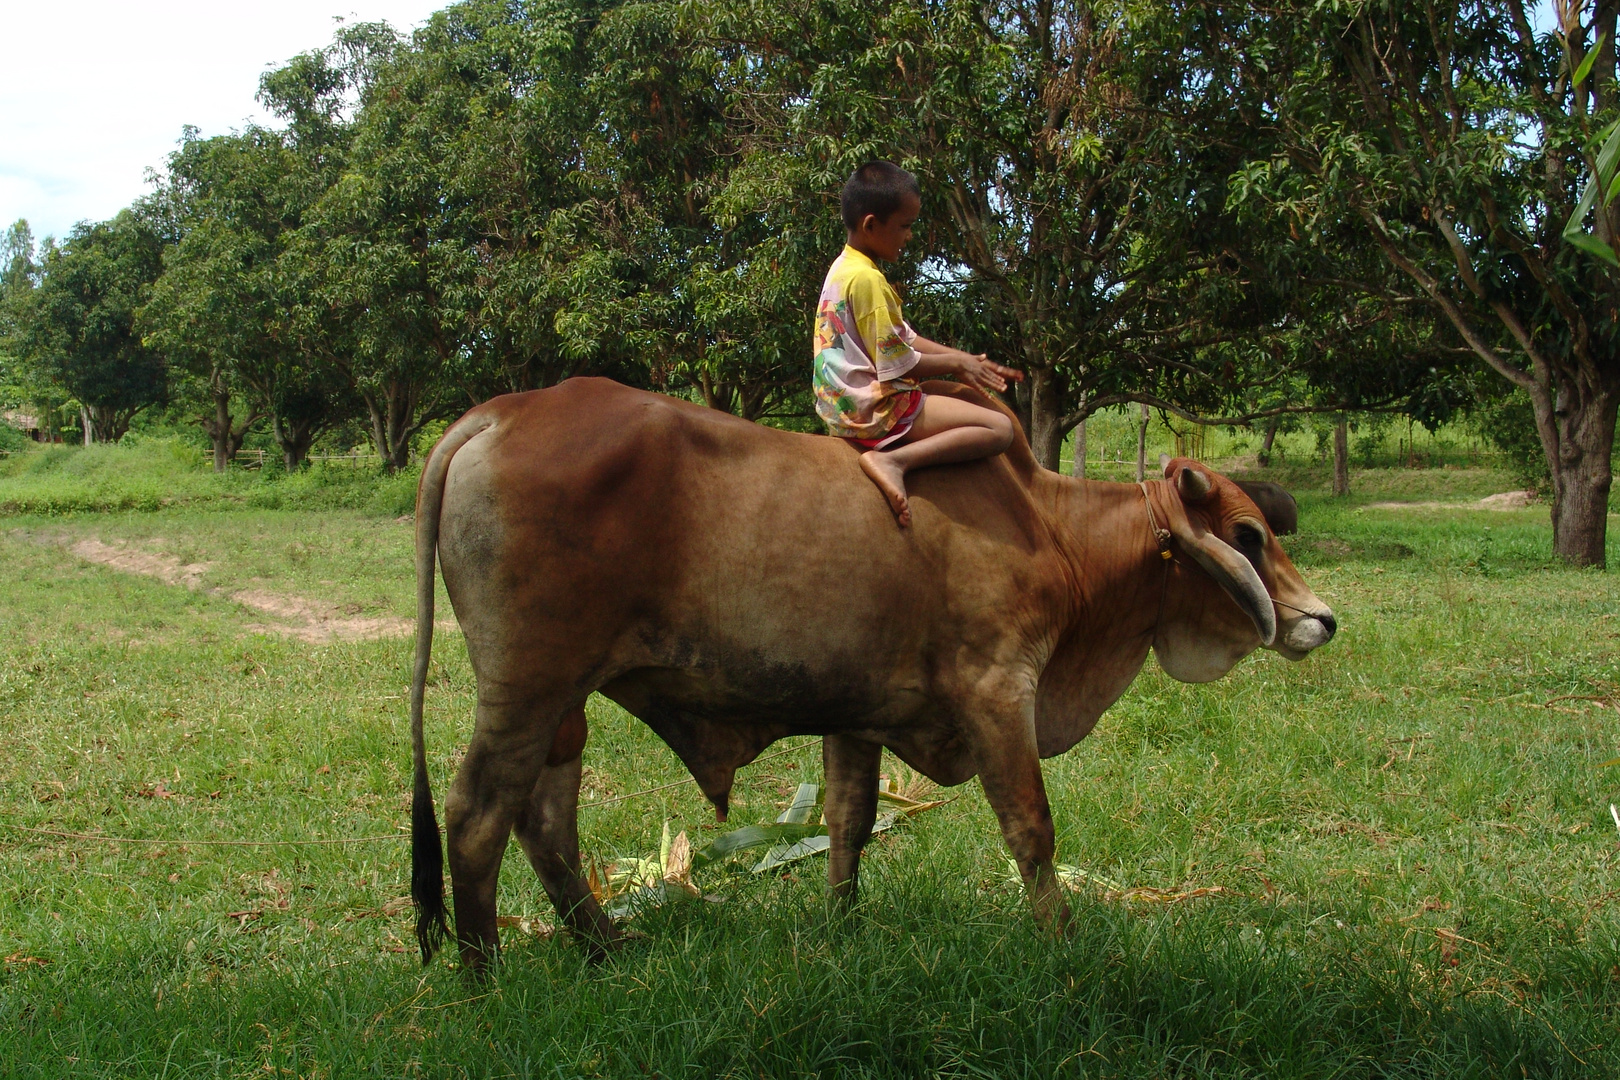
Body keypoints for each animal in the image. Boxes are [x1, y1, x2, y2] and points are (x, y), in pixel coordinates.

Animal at [411, 380, 1334, 971]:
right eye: (1247, 535)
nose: (1322, 619)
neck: (1056, 533)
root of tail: (498, 413)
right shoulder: (999, 690)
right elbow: (1031, 829)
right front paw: (1065, 944)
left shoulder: (857, 714)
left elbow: (849, 823)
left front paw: (843, 928)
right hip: (528, 684)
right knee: (479, 815)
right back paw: (485, 975)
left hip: (562, 700)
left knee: (545, 819)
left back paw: (602, 946)